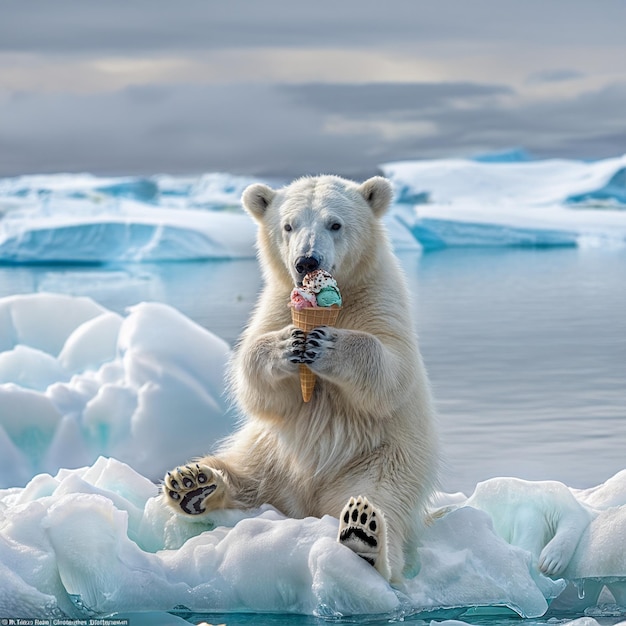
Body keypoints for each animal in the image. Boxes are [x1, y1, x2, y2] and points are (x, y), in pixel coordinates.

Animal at [161, 174, 436, 580]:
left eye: (335, 224)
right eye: (288, 225)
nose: (306, 261)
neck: (342, 295)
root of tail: (302, 505)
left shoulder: (381, 302)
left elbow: (390, 370)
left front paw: (326, 344)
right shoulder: (275, 305)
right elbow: (254, 379)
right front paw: (287, 345)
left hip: (382, 460)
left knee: (384, 501)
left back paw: (362, 535)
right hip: (268, 453)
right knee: (242, 474)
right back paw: (192, 485)